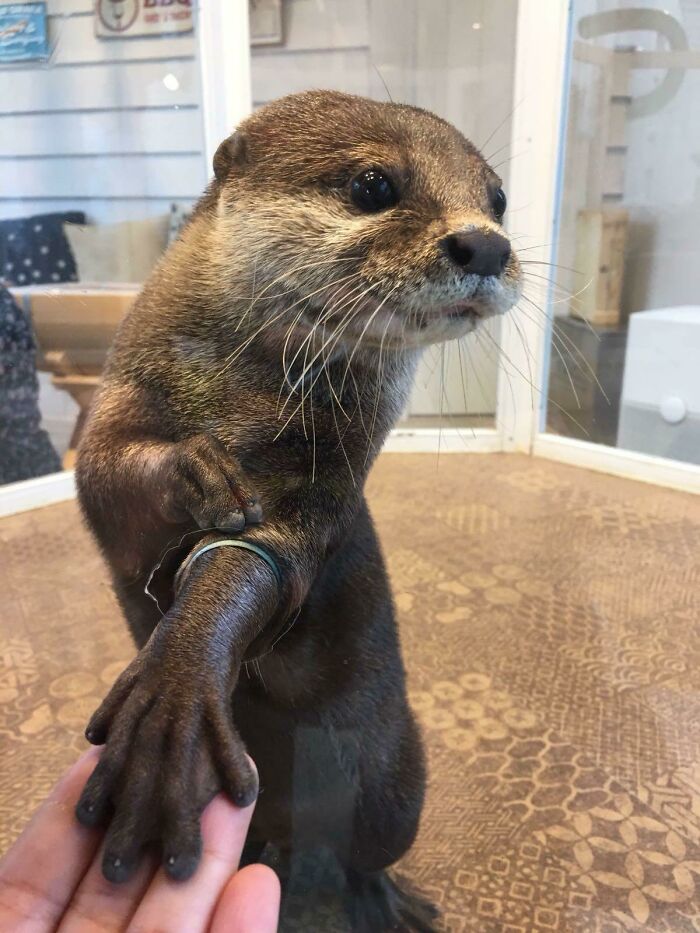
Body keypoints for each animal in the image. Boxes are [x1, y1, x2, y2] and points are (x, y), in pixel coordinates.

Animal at [74, 90, 521, 930]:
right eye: (375, 184)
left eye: (499, 198)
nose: (485, 242)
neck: (230, 392)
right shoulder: (119, 406)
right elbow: (108, 482)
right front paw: (199, 469)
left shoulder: (330, 473)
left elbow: (268, 558)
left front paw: (176, 688)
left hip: (401, 778)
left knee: (362, 851)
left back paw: (387, 898)